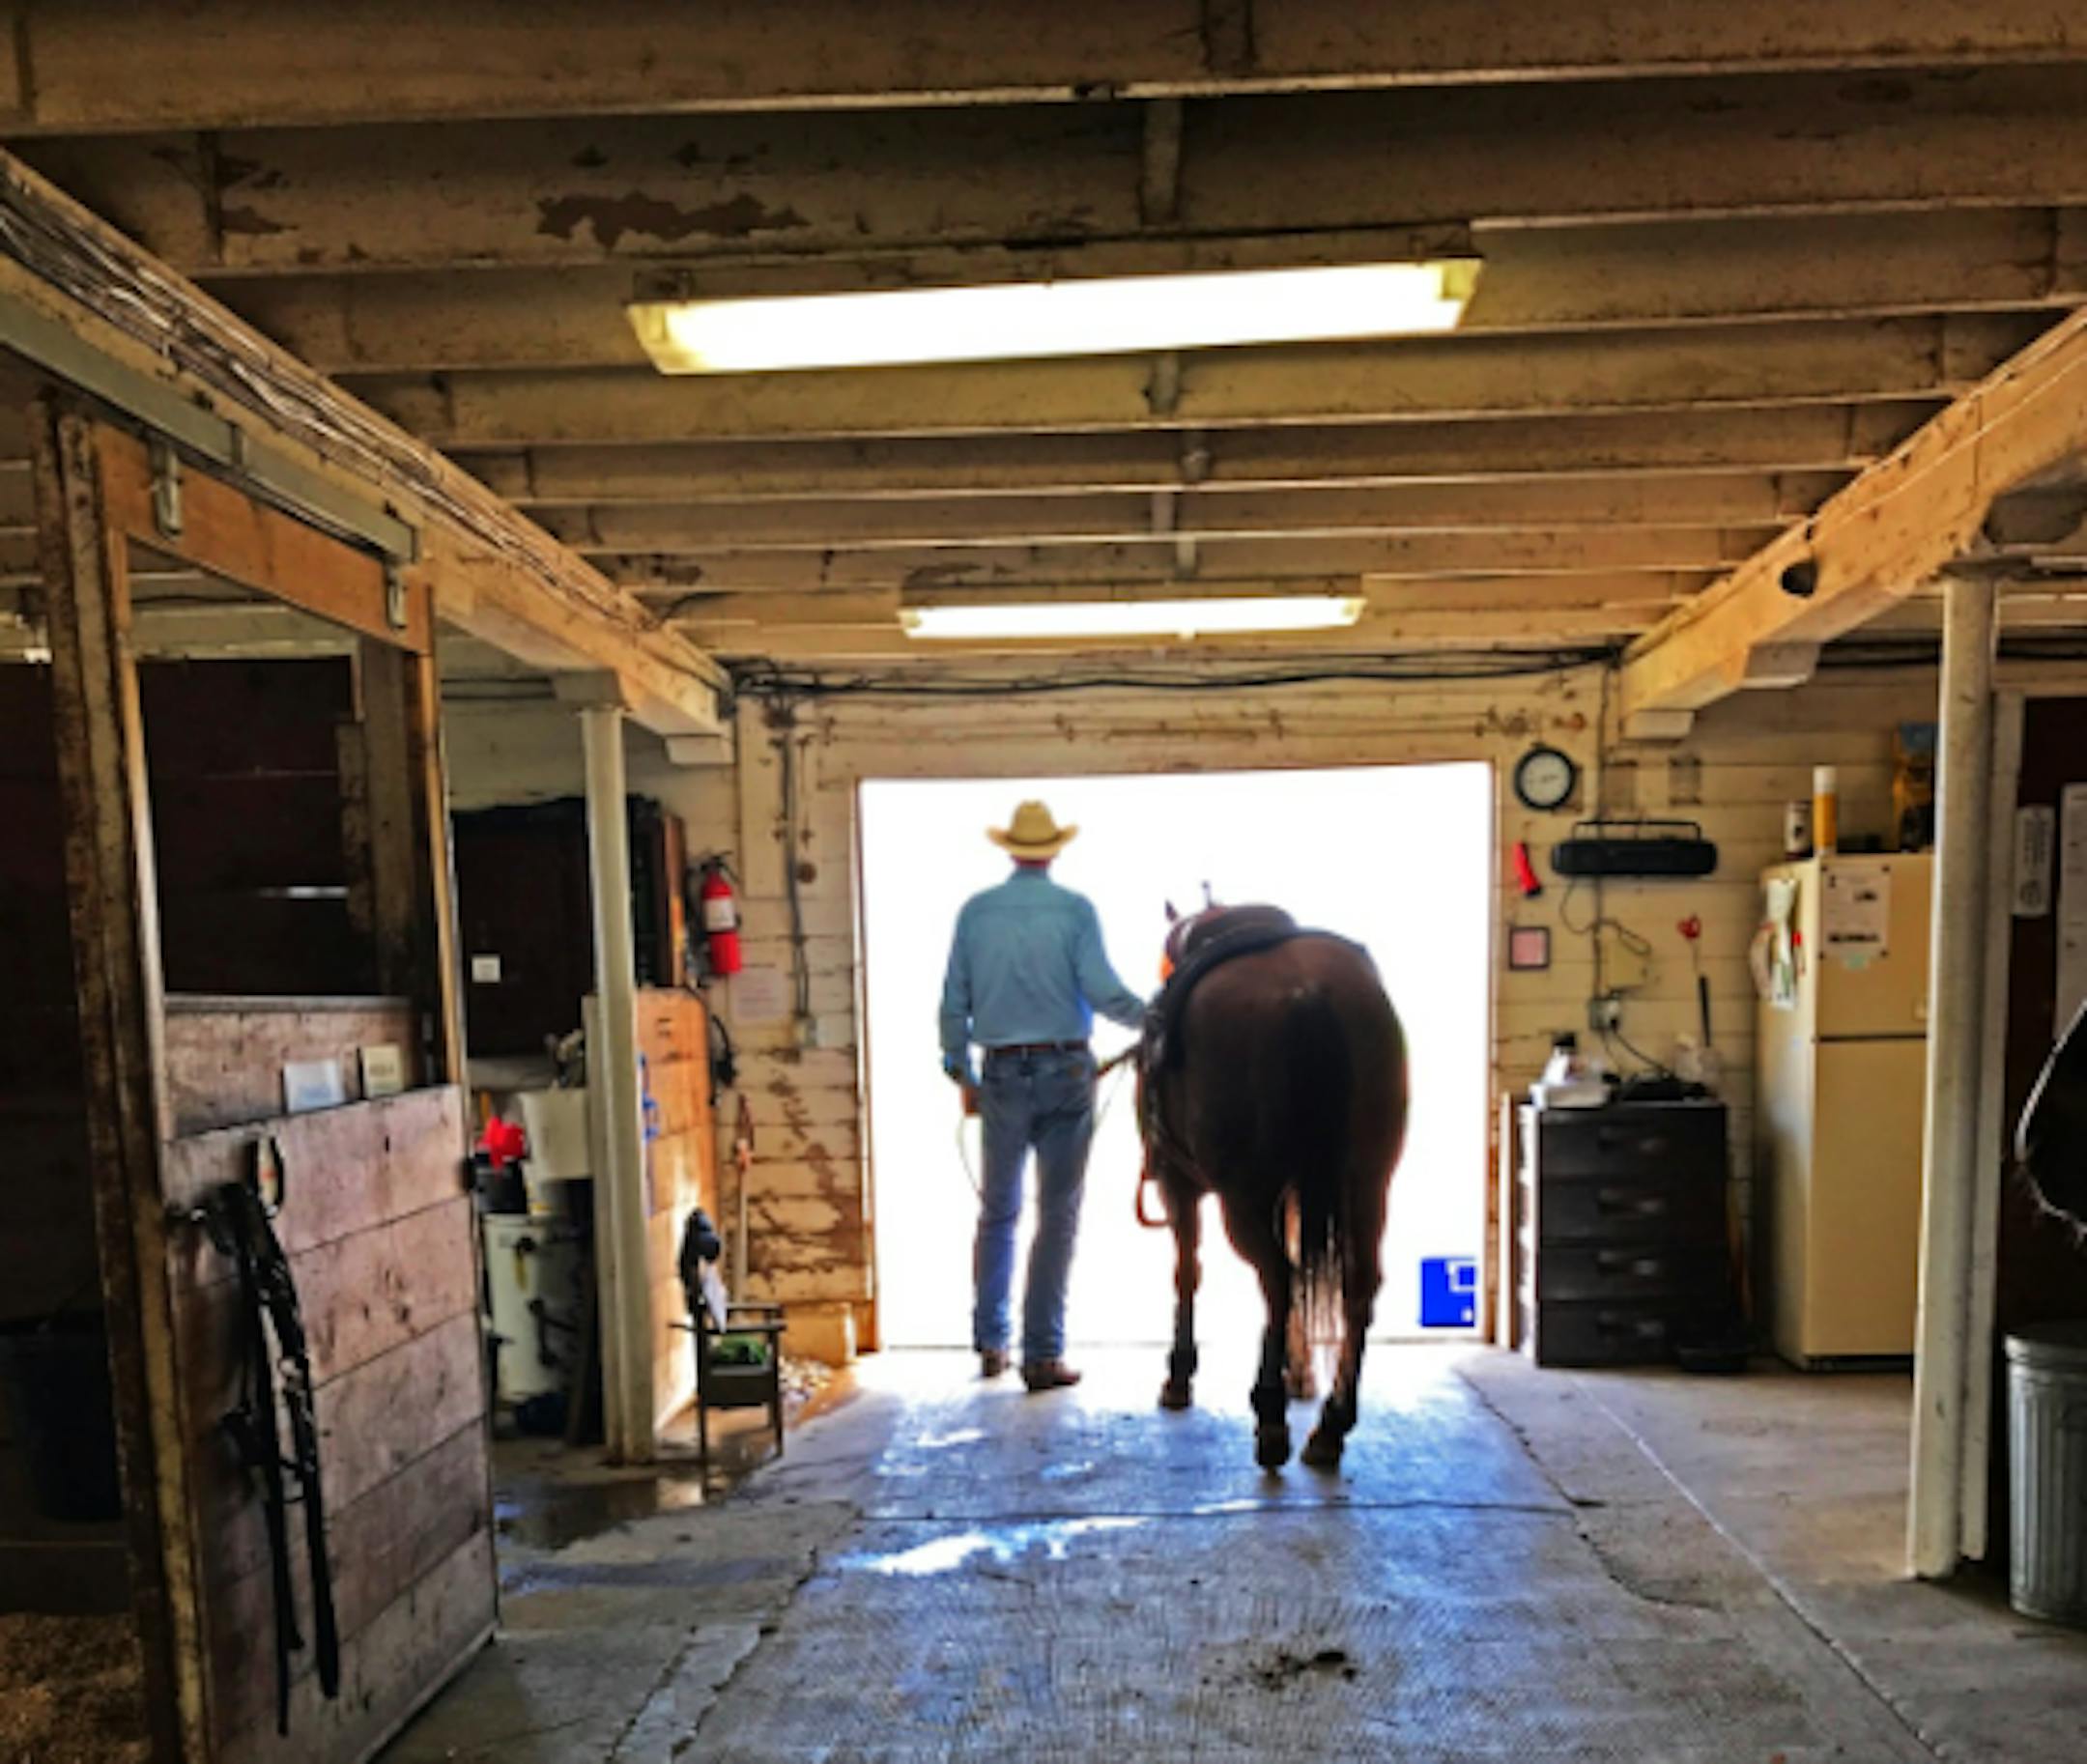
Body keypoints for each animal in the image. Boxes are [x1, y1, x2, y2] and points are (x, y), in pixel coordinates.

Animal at [1139, 903, 1409, 1470]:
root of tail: (1307, 993)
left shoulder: (1178, 1185)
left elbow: (1186, 1272)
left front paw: (1179, 1373)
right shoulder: (1290, 1196)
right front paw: (1300, 1369)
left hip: (1240, 1199)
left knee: (1277, 1279)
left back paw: (1270, 1417)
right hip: (1368, 1181)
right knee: (1356, 1284)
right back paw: (1331, 1424)